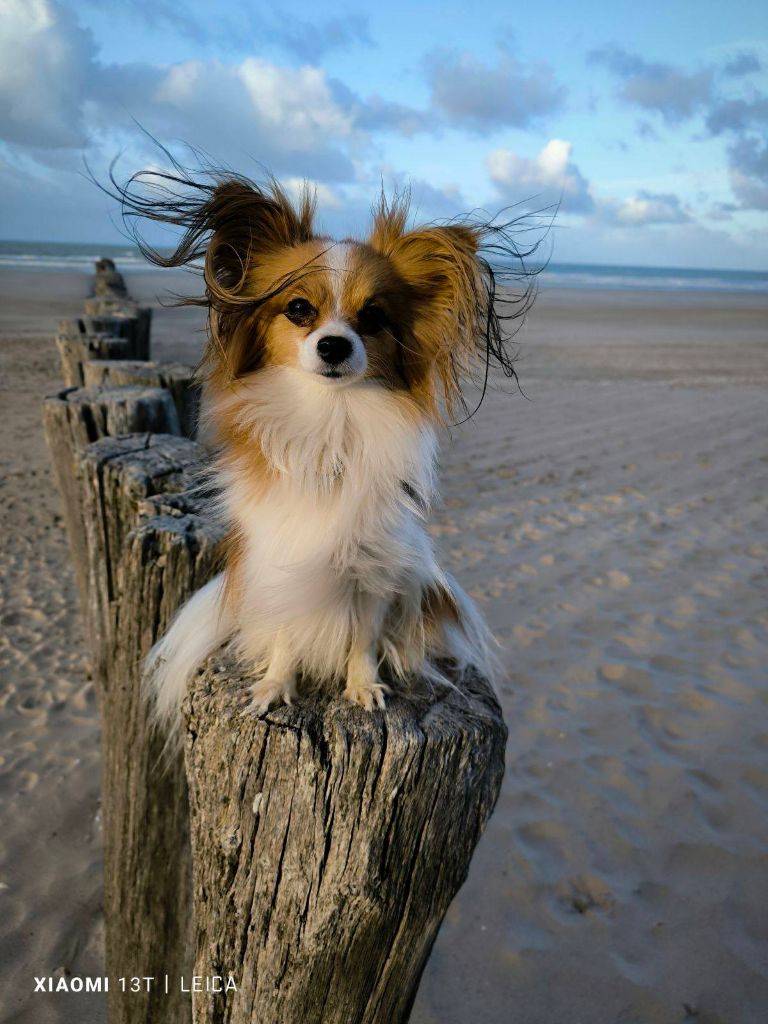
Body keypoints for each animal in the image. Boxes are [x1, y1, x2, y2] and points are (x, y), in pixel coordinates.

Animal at [115, 159, 536, 724]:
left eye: (373, 316)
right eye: (298, 309)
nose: (335, 345)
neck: (332, 420)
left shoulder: (374, 570)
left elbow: (363, 638)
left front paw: (363, 686)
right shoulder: (280, 561)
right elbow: (286, 634)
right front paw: (276, 683)